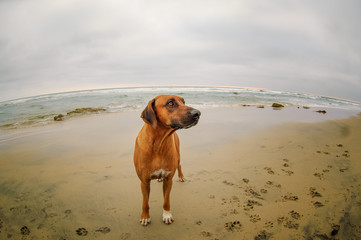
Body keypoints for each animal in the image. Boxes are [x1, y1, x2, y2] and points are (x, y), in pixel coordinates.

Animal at [133, 95, 200, 225]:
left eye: (184, 102)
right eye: (170, 103)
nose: (198, 113)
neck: (158, 144)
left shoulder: (169, 180)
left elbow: (166, 201)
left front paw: (167, 215)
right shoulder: (144, 181)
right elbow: (145, 203)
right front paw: (145, 216)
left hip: (178, 155)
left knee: (179, 165)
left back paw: (181, 176)